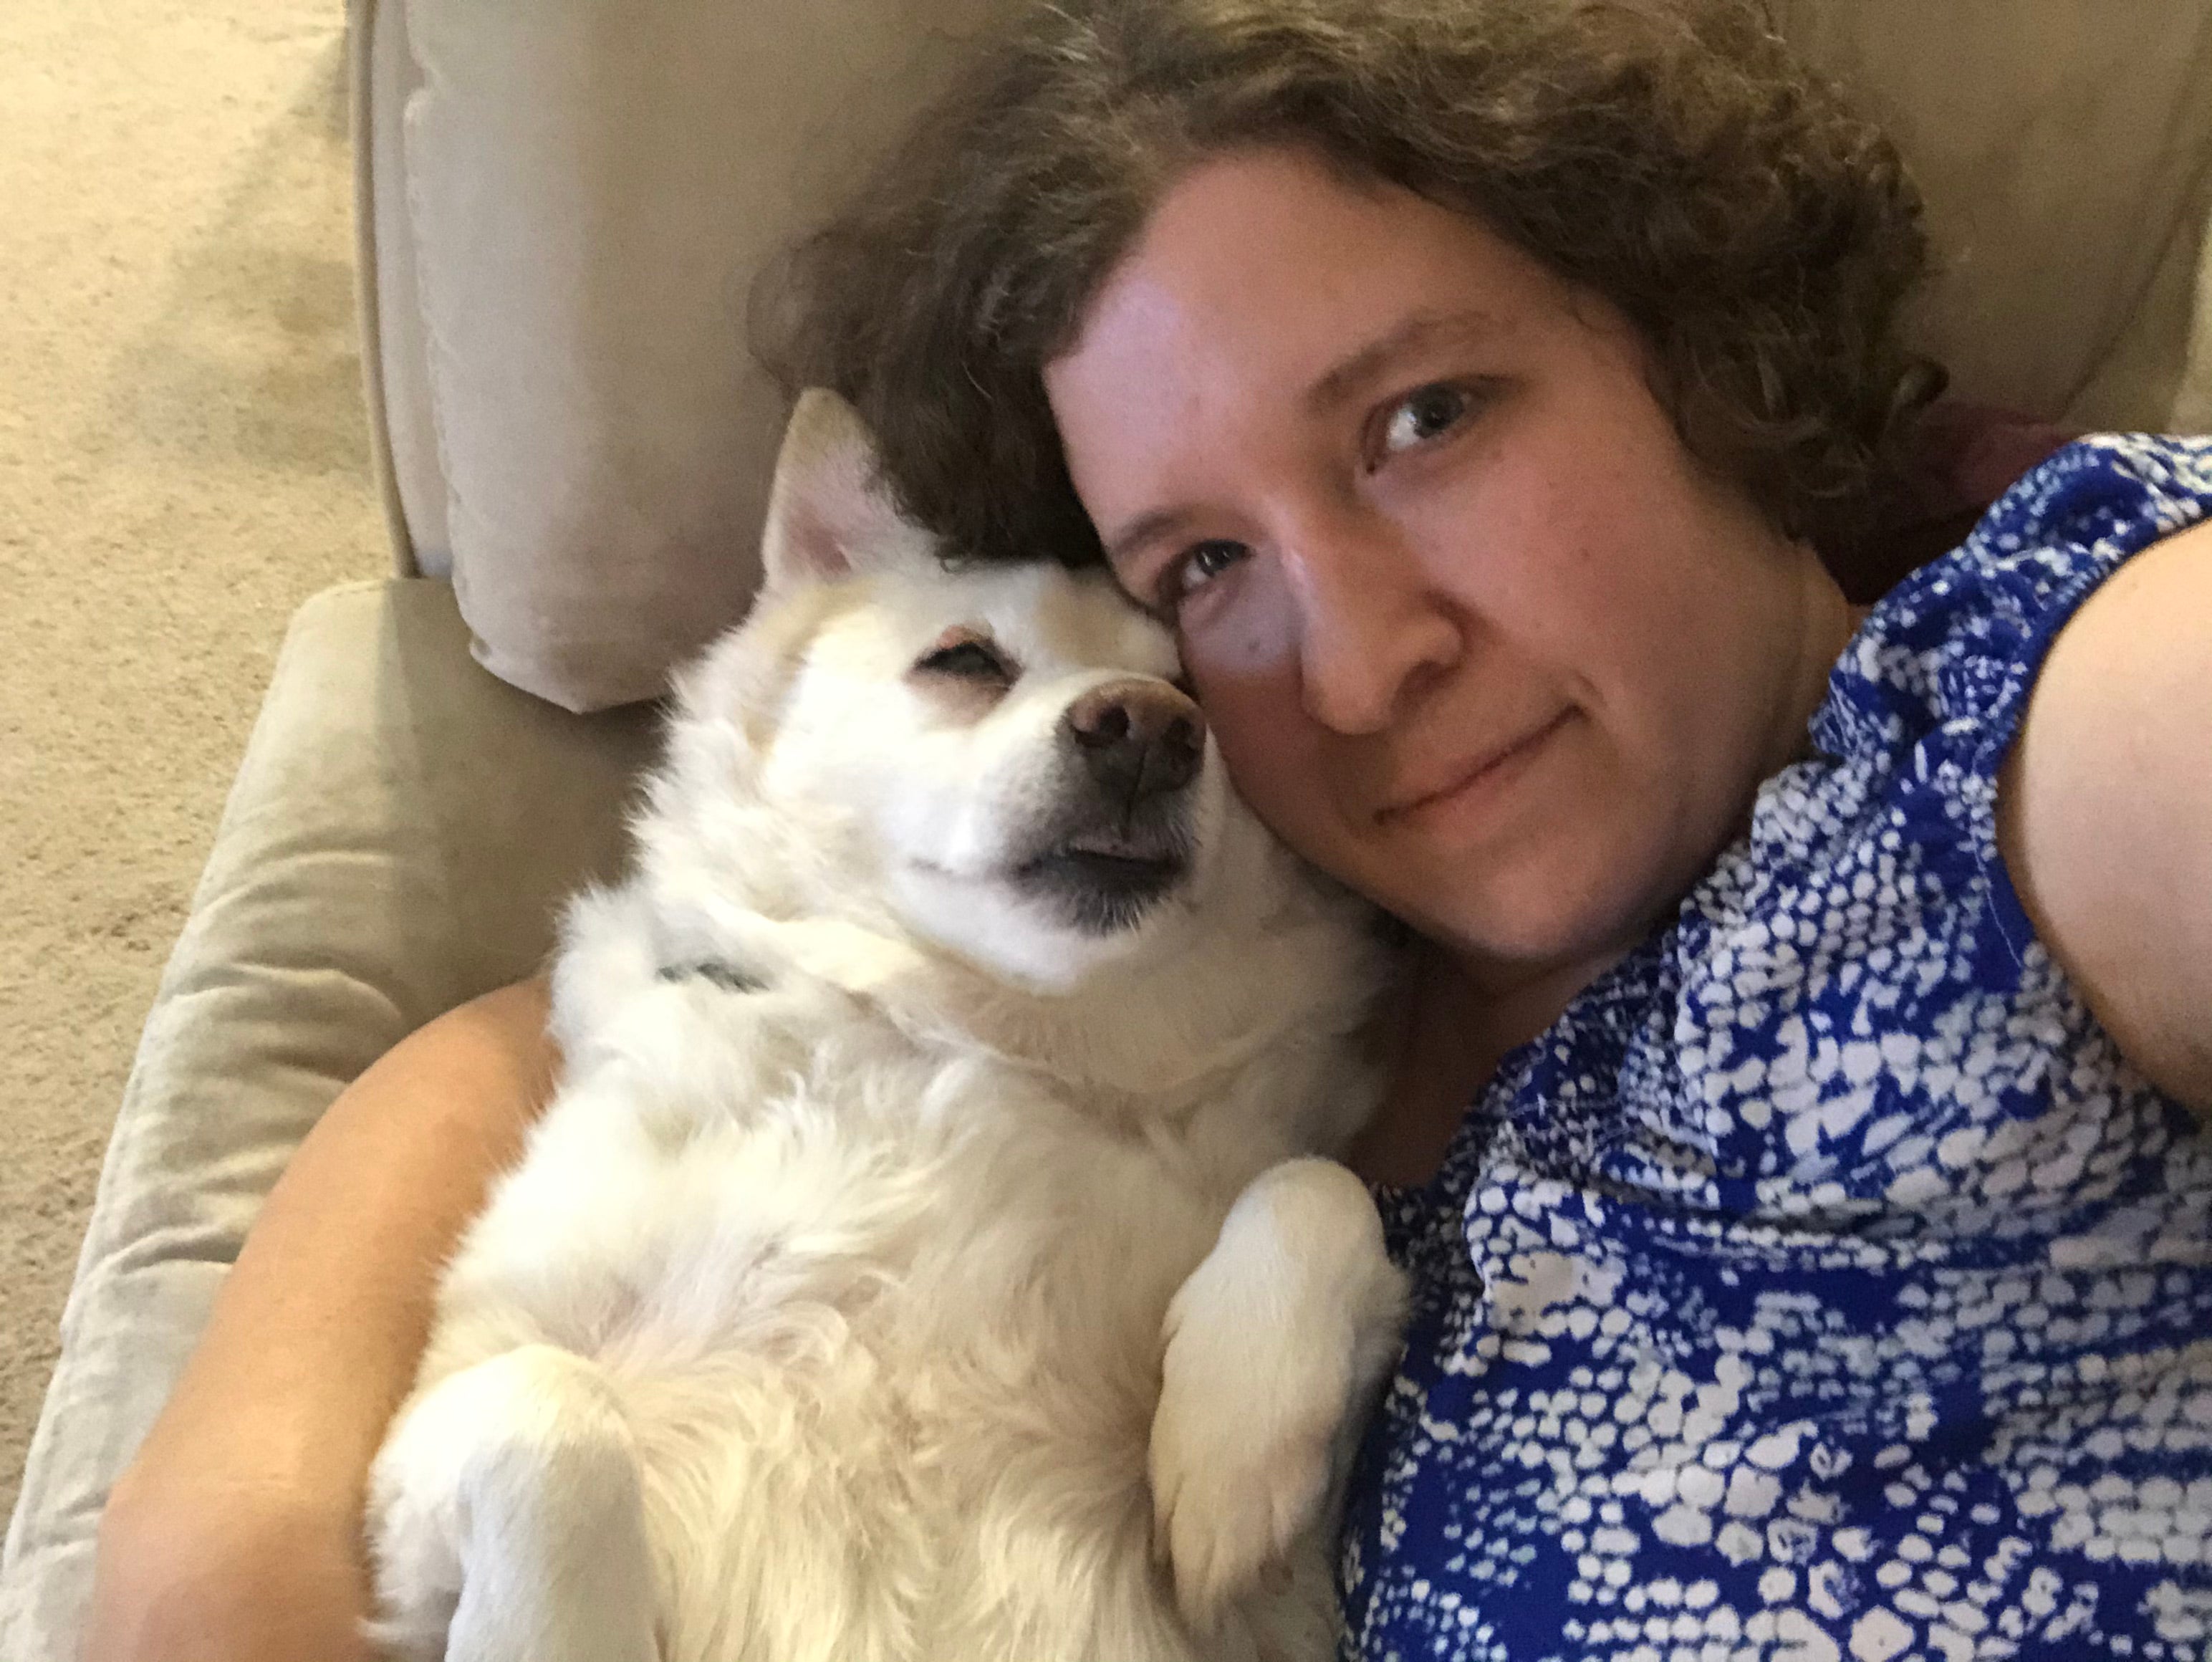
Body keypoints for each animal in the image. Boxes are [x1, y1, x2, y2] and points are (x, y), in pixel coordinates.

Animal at [360, 393, 1398, 1662]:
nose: (1149, 727)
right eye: (965, 660)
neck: (961, 1037)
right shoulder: (426, 1488)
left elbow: (1319, 1189)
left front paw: (1231, 1453)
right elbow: (551, 1408)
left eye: (1206, 703)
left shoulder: (1286, 1609)